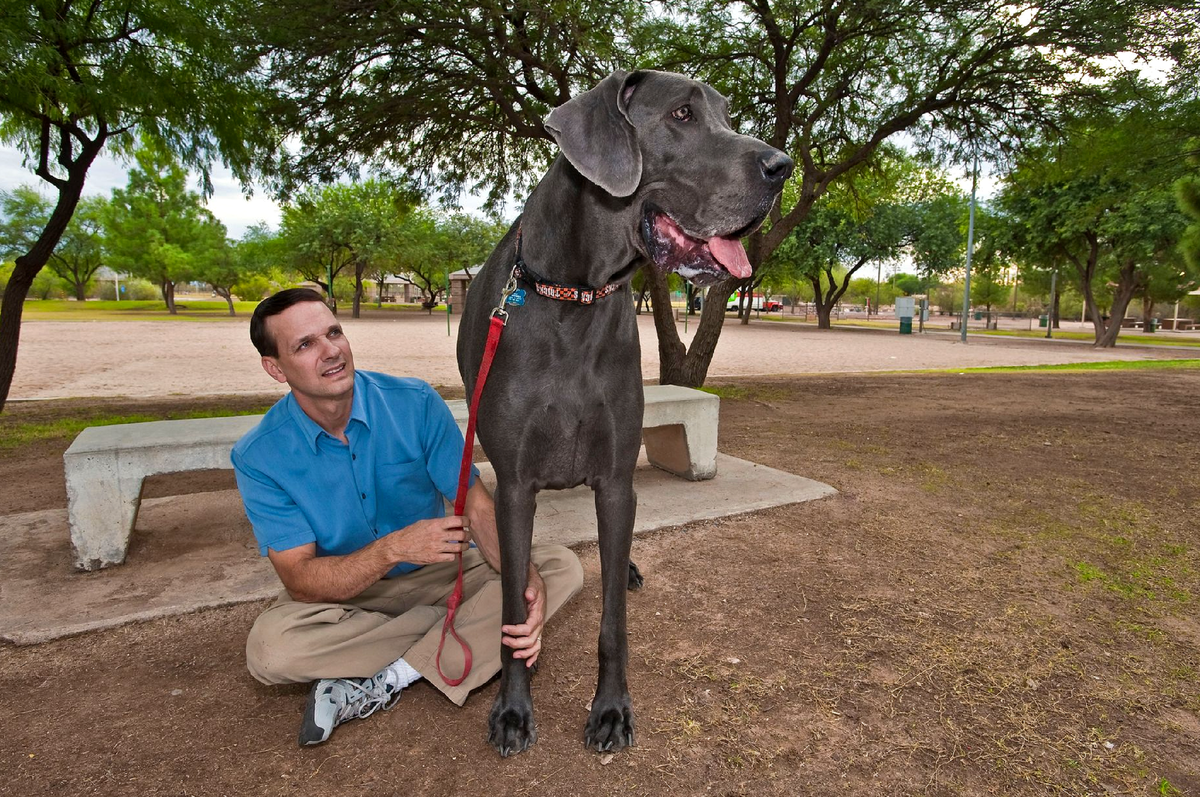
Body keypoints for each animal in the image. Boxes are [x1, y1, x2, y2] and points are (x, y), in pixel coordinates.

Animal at [453, 66, 792, 753]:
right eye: (683, 114)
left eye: (726, 113)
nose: (783, 166)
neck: (574, 295)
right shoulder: (516, 483)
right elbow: (512, 609)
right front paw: (512, 709)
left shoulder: (613, 477)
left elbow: (613, 619)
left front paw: (610, 708)